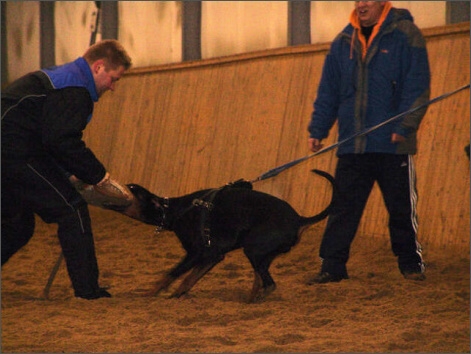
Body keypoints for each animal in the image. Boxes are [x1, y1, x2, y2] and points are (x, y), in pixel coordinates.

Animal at [114, 169, 336, 302]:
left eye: (132, 188)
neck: (175, 211)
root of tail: (299, 219)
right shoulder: (213, 256)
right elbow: (190, 279)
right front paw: (177, 296)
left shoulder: (196, 254)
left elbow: (171, 274)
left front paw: (148, 294)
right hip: (263, 255)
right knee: (260, 278)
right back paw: (250, 298)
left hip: (254, 250)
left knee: (269, 284)